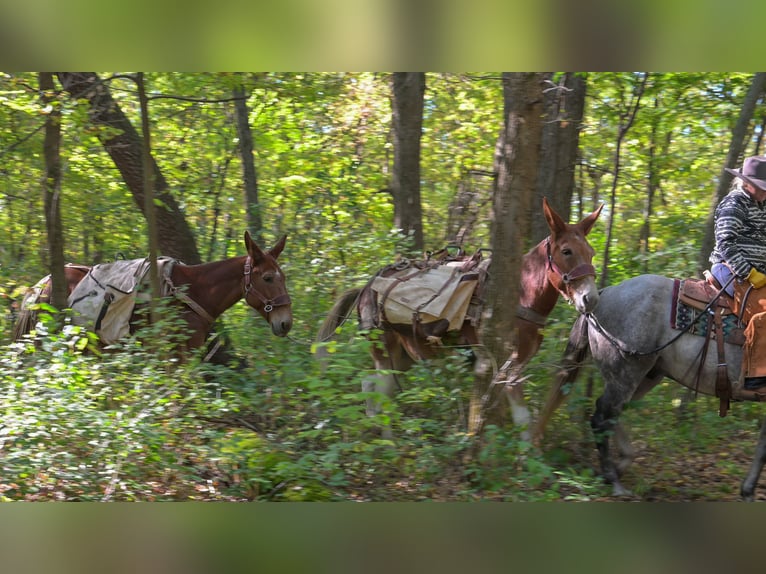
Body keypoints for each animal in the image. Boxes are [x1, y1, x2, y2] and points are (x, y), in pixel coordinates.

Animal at [317, 198, 603, 435]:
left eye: (591, 253)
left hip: (405, 354)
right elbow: (522, 416)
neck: (522, 295)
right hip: (383, 348)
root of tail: (365, 288)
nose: (591, 299)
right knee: (379, 392)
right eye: (566, 251)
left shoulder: (518, 364)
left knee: (374, 387)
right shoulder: (506, 365)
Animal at [532, 273, 766, 501]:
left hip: (645, 377)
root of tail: (604, 294)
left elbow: (762, 446)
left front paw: (747, 491)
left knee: (611, 412)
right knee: (601, 418)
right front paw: (748, 491)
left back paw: (619, 466)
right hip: (626, 376)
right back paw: (614, 481)